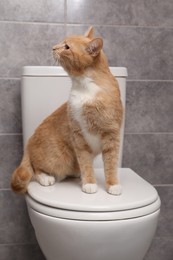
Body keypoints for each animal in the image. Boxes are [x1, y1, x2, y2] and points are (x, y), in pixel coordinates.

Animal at [10, 27, 123, 196]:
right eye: (61, 43)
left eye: (67, 47)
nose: (53, 47)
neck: (85, 87)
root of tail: (28, 144)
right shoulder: (78, 135)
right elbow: (86, 162)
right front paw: (89, 183)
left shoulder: (111, 134)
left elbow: (111, 164)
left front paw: (113, 185)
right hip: (58, 158)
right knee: (35, 168)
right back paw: (46, 178)